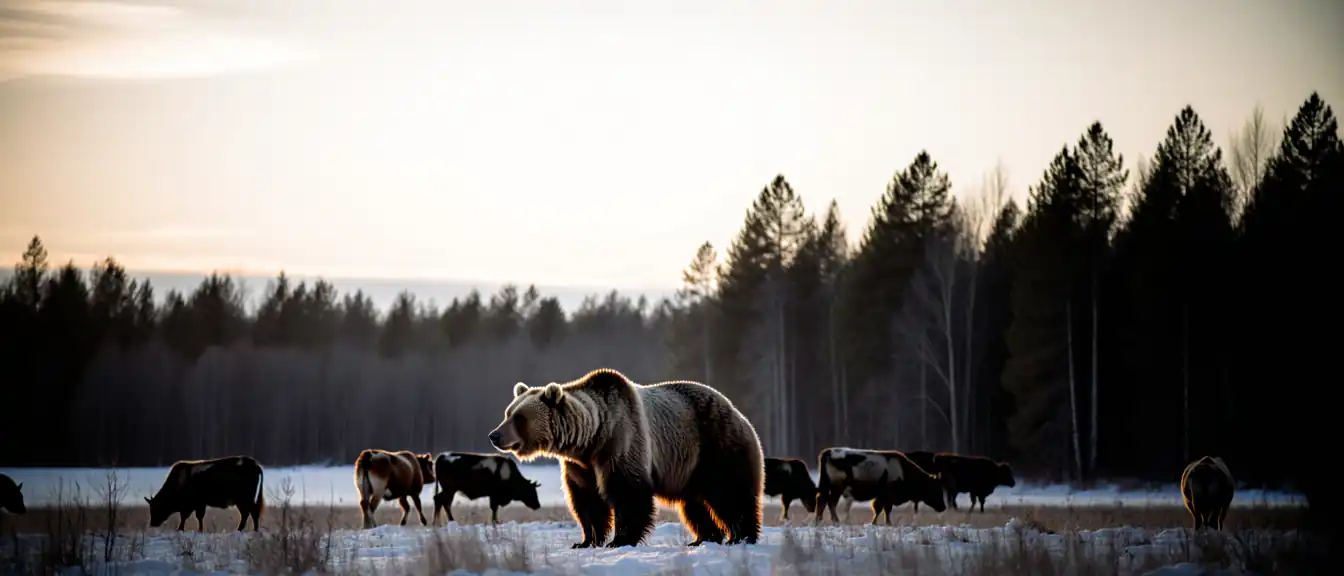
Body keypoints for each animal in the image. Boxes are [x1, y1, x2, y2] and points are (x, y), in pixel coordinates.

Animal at [488, 368, 765, 548]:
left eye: (519, 418)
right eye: (508, 412)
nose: (494, 435)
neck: (591, 438)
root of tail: (739, 413)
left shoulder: (621, 442)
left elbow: (628, 492)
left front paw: (620, 540)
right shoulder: (580, 466)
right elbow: (585, 500)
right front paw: (586, 540)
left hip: (715, 445)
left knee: (730, 492)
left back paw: (740, 536)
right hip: (688, 468)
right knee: (694, 505)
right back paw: (704, 538)